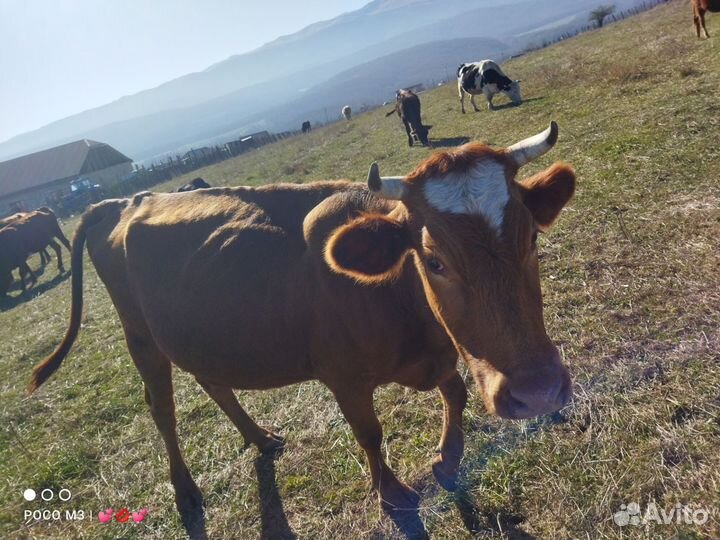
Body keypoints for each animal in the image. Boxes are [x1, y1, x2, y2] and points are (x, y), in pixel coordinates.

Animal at [29, 122, 575, 532]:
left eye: (531, 237)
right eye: (435, 260)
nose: (539, 391)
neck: (402, 302)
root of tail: (125, 201)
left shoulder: (443, 352)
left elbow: (457, 394)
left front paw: (447, 458)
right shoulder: (343, 376)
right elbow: (369, 432)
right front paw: (391, 492)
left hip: (203, 334)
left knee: (213, 381)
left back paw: (260, 437)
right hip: (140, 336)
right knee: (162, 409)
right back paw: (185, 491)